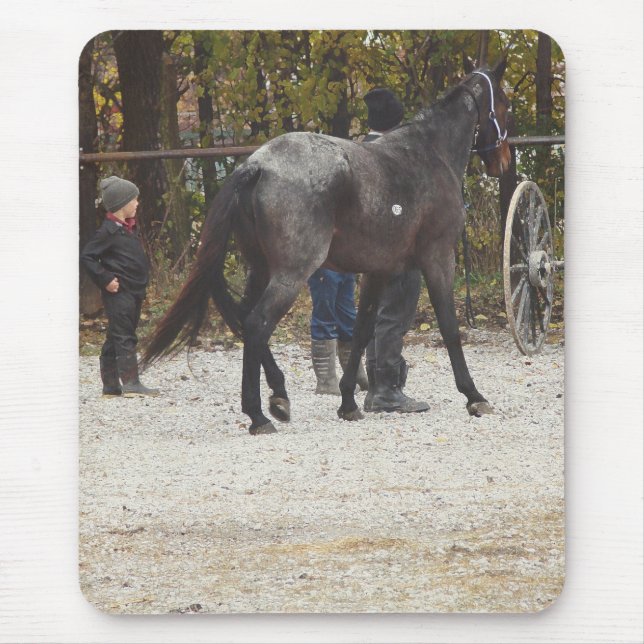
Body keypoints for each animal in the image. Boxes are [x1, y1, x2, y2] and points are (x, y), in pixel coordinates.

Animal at [142, 60, 512, 435]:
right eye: (506, 104)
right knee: (257, 324)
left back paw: (279, 396)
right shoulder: (438, 258)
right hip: (291, 274)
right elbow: (450, 327)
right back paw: (258, 414)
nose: (504, 162)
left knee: (246, 318)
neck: (430, 154)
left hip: (261, 269)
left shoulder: (377, 271)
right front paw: (474, 396)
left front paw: (348, 402)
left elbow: (361, 331)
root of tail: (256, 165)